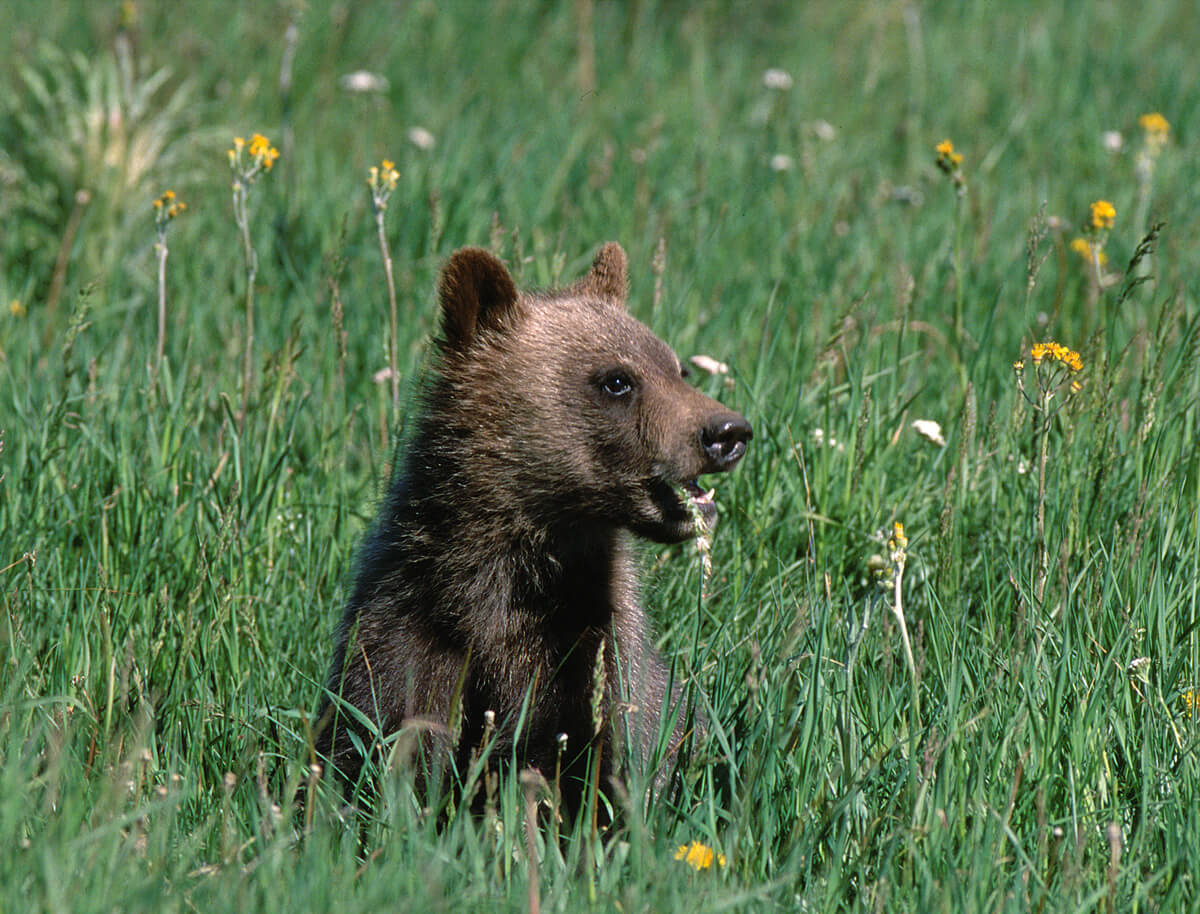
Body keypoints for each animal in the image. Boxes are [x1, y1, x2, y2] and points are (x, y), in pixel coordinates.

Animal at [314, 241, 751, 818]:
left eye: (676, 367)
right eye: (617, 379)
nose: (728, 432)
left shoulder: (590, 653)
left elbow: (590, 764)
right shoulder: (408, 632)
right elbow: (378, 743)